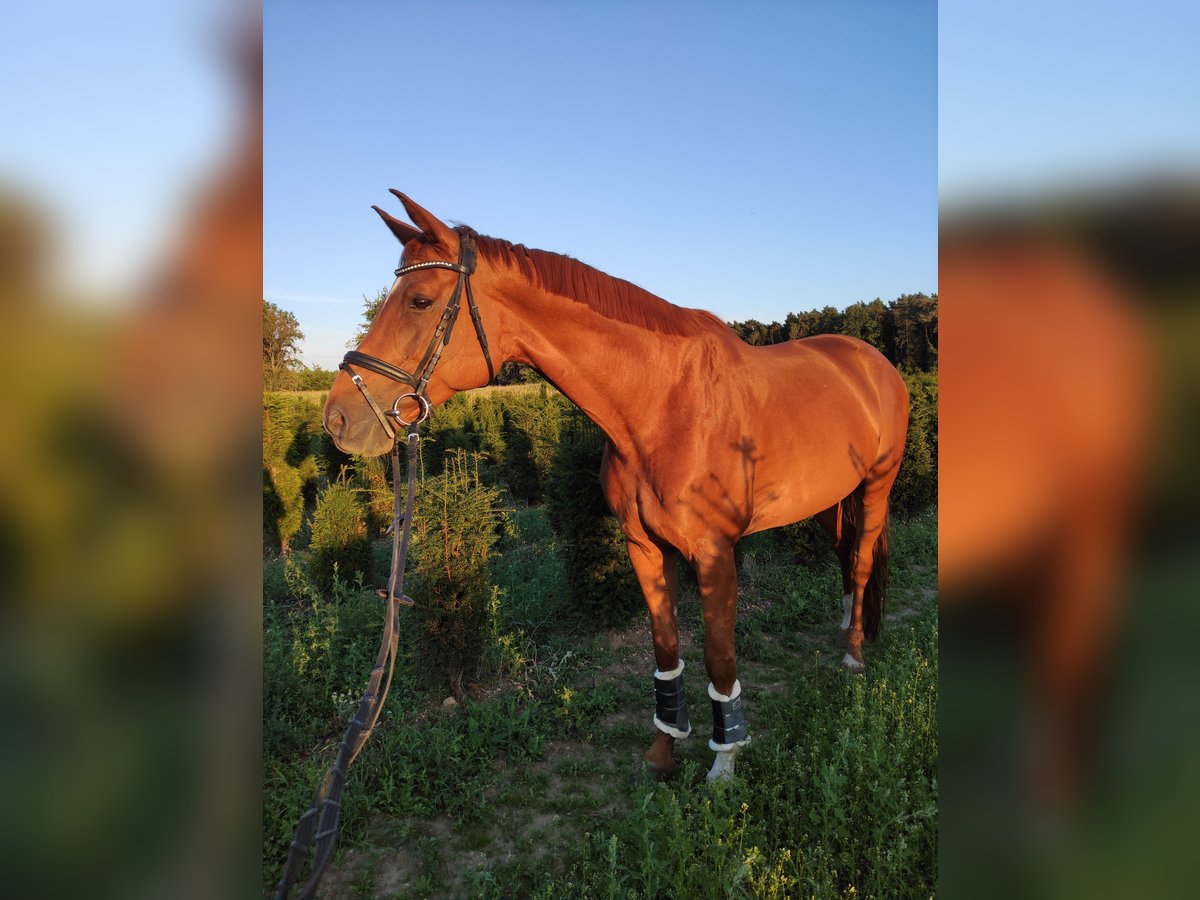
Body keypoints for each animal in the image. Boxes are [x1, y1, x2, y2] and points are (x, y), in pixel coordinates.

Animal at [324, 195, 902, 782]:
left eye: (419, 301)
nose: (339, 418)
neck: (662, 405)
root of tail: (872, 361)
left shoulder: (715, 554)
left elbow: (719, 655)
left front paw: (725, 760)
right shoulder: (644, 547)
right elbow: (665, 649)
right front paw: (664, 749)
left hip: (876, 486)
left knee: (860, 560)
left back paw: (853, 652)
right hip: (830, 498)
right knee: (845, 555)